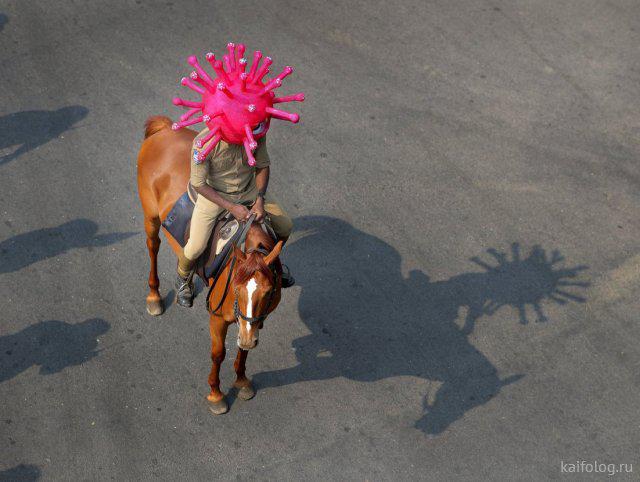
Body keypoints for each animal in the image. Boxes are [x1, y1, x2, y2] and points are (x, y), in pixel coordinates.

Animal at [136, 116, 282, 414]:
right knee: (154, 247)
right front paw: (216, 394)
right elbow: (219, 353)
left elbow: (243, 346)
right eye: (236, 290)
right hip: (151, 217)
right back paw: (156, 295)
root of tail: (165, 129)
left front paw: (241, 379)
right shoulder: (218, 317)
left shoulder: (252, 320)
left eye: (268, 292)